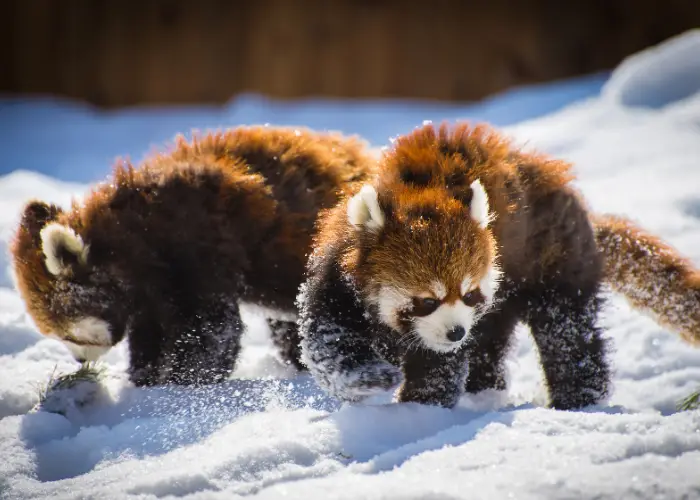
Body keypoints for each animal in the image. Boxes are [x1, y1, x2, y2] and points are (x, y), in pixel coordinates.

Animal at [9, 125, 372, 386]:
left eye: (68, 334)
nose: (80, 361)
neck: (136, 233)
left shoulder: (197, 247)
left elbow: (212, 329)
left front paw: (182, 381)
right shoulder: (149, 291)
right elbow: (149, 332)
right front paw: (144, 377)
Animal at [296, 121, 700, 410]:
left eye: (469, 293)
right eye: (427, 300)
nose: (456, 332)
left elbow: (438, 369)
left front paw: (417, 413)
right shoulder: (336, 279)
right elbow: (326, 344)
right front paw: (372, 378)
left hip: (555, 262)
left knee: (567, 335)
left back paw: (578, 402)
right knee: (491, 343)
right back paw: (484, 392)